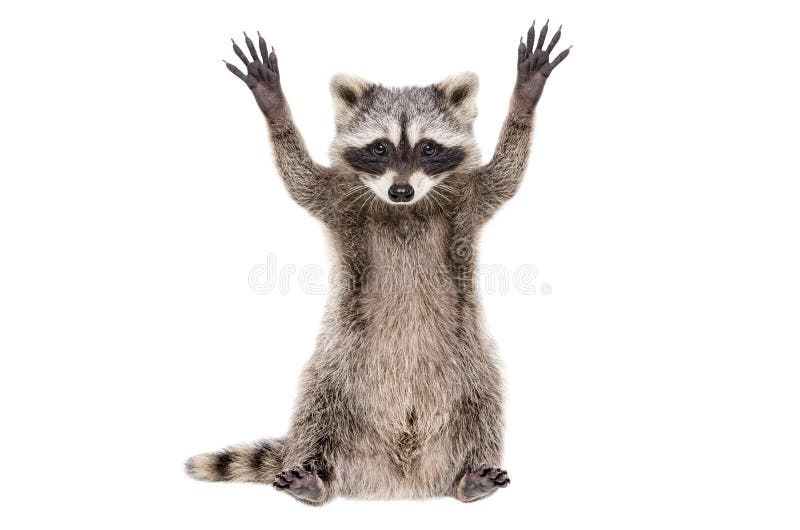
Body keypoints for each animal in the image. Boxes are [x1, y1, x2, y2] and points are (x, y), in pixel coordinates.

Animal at [186, 19, 568, 504]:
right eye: (381, 148)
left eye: (427, 148)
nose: (400, 191)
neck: (405, 209)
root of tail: (398, 479)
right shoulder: (337, 201)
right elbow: (299, 178)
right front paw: (274, 106)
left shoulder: (471, 199)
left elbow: (507, 173)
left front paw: (525, 95)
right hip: (338, 363)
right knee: (314, 406)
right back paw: (314, 476)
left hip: (470, 359)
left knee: (486, 401)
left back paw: (472, 476)